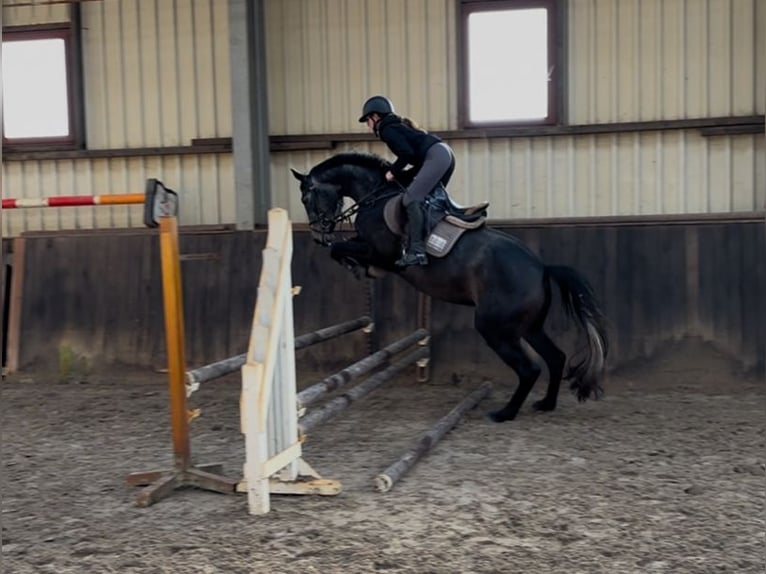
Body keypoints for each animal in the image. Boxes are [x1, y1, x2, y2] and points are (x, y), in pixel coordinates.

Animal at [290, 151, 609, 422]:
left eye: (307, 197)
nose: (319, 236)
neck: (376, 197)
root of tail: (542, 268)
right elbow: (343, 247)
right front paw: (352, 264)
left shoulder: (380, 254)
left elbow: (341, 249)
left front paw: (353, 265)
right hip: (528, 327)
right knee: (555, 358)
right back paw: (546, 404)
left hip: (495, 328)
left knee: (529, 369)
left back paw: (505, 413)